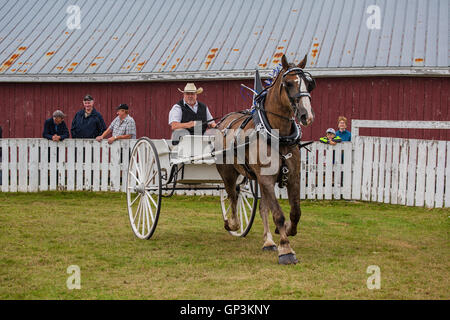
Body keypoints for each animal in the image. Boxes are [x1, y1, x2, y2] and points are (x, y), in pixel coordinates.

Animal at [216, 54, 314, 264]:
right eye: (288, 83)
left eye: (309, 84)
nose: (306, 115)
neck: (278, 135)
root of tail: (224, 120)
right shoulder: (266, 178)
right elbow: (278, 214)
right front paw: (286, 249)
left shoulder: (293, 177)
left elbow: (295, 212)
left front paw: (285, 232)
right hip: (228, 172)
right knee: (233, 195)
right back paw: (233, 224)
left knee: (260, 206)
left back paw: (268, 241)